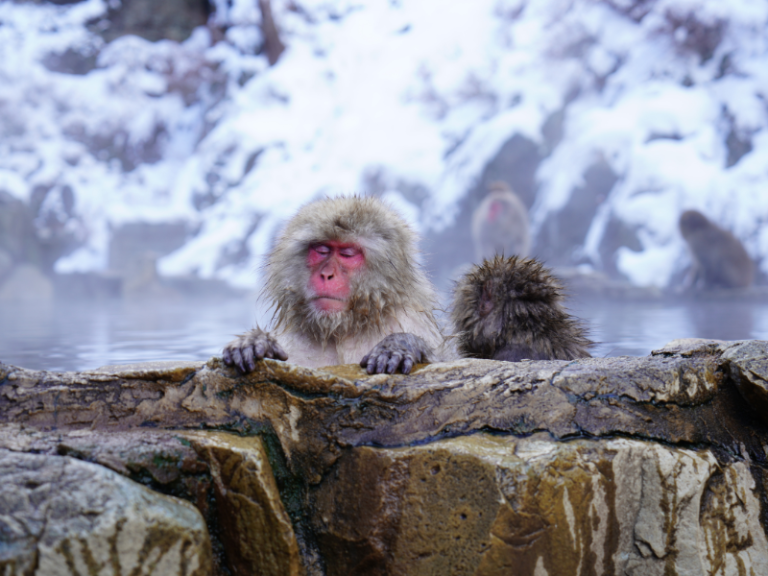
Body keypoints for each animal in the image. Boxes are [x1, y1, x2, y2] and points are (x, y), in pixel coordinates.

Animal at [223, 196, 444, 375]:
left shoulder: (412, 321)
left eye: (347, 253)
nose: (326, 274)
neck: (342, 330)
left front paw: (399, 345)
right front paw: (255, 342)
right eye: (322, 250)